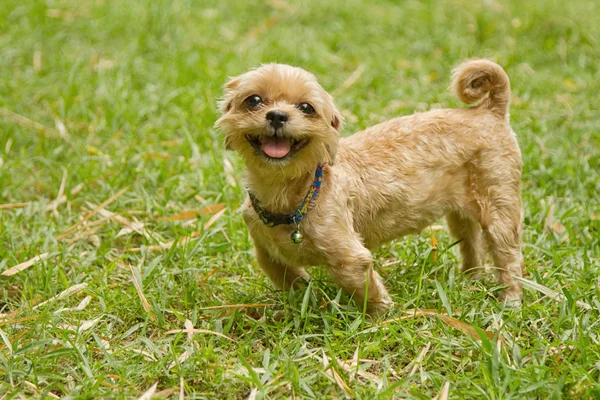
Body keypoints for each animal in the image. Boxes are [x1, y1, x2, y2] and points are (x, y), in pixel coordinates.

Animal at [217, 59, 524, 316]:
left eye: (306, 107)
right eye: (253, 100)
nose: (277, 116)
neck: (293, 196)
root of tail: (488, 111)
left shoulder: (350, 259)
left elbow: (370, 295)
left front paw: (381, 321)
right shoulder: (269, 256)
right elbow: (296, 284)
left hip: (499, 209)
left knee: (508, 258)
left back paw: (510, 300)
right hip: (460, 215)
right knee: (471, 245)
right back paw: (469, 280)